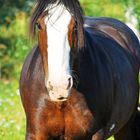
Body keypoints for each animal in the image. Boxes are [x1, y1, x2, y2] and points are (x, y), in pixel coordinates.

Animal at [19, 0, 140, 139]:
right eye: (39, 25)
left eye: (75, 25)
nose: (59, 86)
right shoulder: (35, 134)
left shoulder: (96, 134)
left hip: (125, 128)